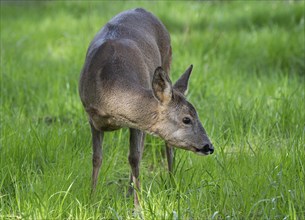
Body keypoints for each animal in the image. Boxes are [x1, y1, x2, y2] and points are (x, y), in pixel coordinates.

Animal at [78, 7, 214, 207]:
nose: (208, 146)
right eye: (186, 119)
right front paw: (92, 198)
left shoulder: (137, 123)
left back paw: (172, 184)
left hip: (168, 58)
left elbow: (134, 158)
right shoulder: (92, 117)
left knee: (164, 147)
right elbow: (97, 158)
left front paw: (138, 206)